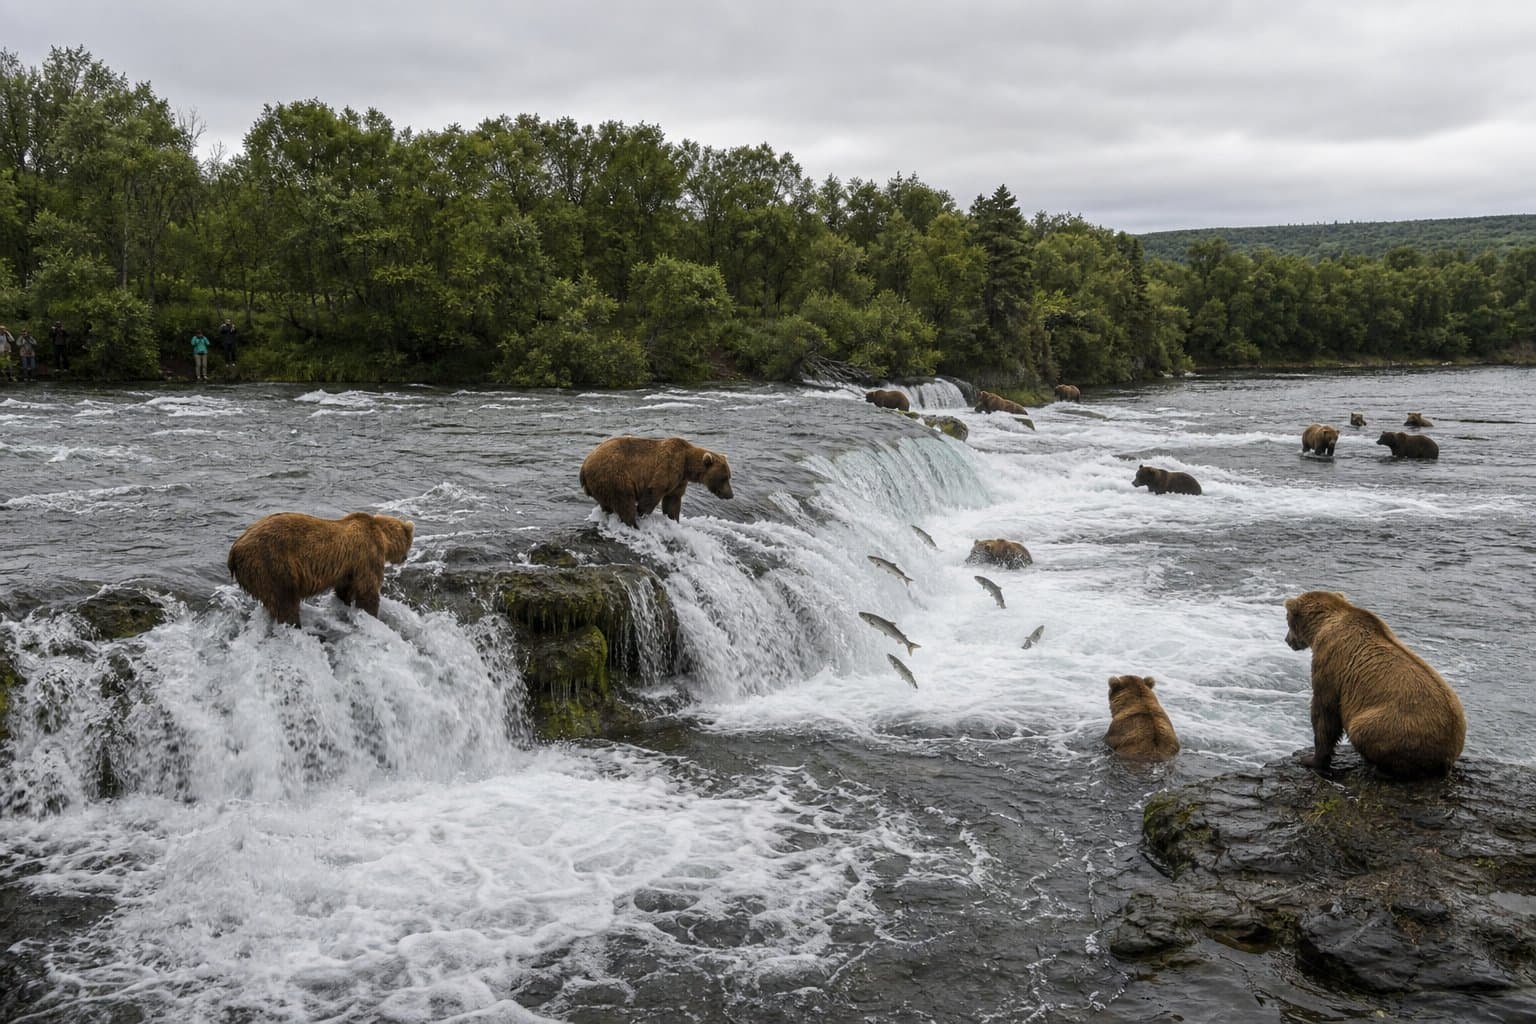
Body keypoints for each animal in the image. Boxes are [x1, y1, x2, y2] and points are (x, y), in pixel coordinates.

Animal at [227, 511, 414, 628]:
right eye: (410, 542)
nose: (405, 558)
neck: (383, 536)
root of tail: (234, 550)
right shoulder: (368, 555)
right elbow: (368, 590)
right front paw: (372, 615)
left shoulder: (348, 568)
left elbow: (345, 589)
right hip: (272, 564)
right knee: (285, 600)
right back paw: (294, 624)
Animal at [579, 435, 734, 528]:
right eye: (724, 477)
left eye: (728, 476)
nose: (730, 495)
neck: (686, 464)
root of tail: (584, 465)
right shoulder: (669, 467)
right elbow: (654, 491)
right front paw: (641, 512)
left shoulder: (679, 481)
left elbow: (672, 501)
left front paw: (673, 520)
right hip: (613, 475)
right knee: (624, 501)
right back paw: (633, 524)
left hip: (601, 484)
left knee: (608, 504)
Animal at [1283, 590, 1465, 779]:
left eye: (1286, 618)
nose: (1287, 639)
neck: (1322, 624)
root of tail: (1449, 753)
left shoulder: (1330, 660)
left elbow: (1324, 711)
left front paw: (1310, 760)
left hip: (1396, 726)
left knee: (1362, 730)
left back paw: (1380, 770)